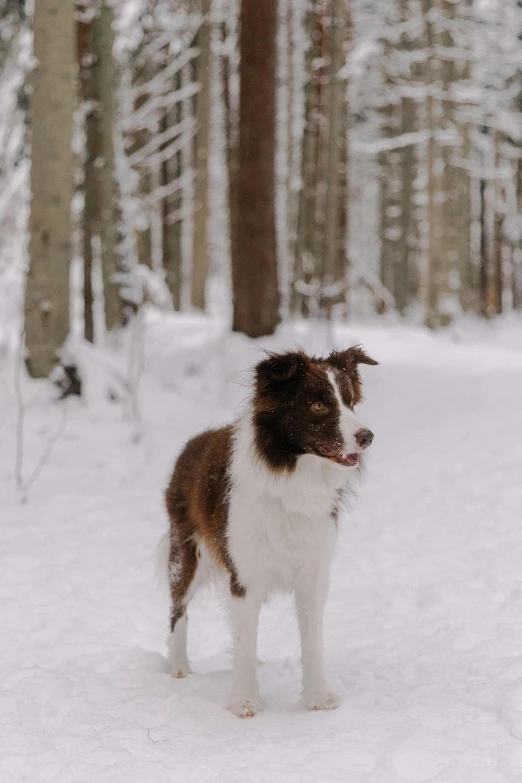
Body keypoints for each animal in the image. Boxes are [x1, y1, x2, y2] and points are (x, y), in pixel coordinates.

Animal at [162, 348, 374, 716]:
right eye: (318, 405)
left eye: (349, 402)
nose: (367, 437)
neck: (293, 476)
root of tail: (190, 444)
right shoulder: (245, 574)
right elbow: (245, 638)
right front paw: (245, 701)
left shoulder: (313, 571)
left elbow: (311, 641)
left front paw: (318, 697)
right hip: (186, 550)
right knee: (178, 608)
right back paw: (178, 668)